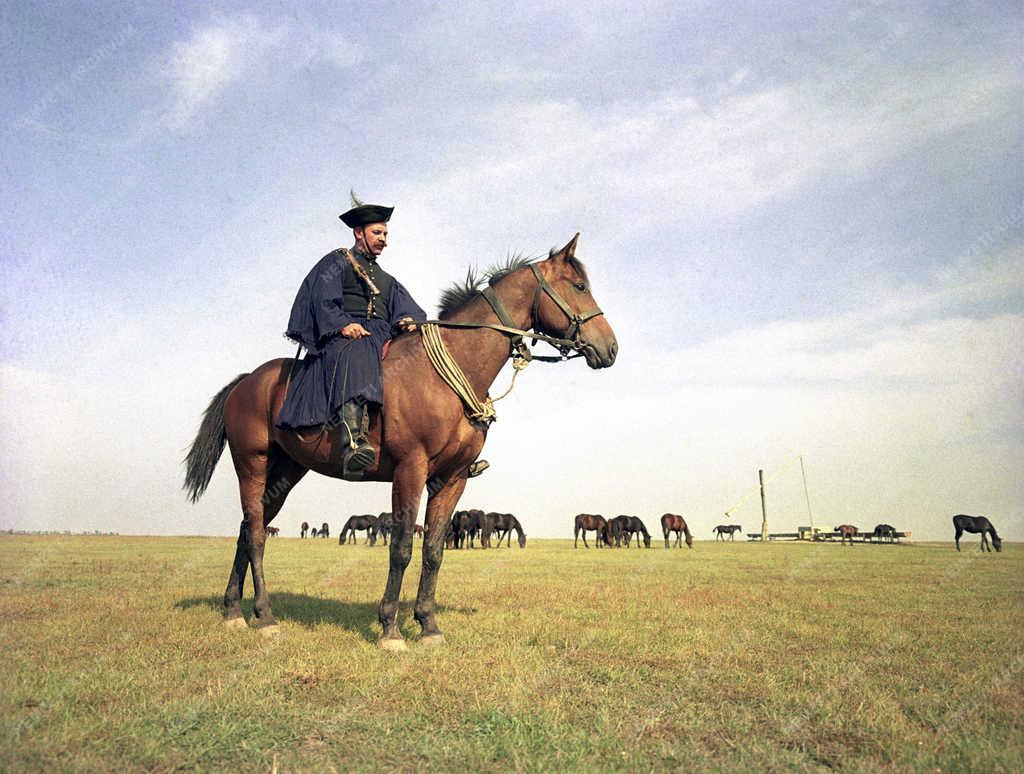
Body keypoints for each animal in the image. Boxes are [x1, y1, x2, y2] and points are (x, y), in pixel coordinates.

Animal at [182, 235, 614, 647]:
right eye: (579, 286)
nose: (610, 347)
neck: (447, 376)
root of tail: (248, 381)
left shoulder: (452, 478)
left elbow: (434, 551)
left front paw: (428, 625)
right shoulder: (411, 469)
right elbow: (402, 547)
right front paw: (390, 628)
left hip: (286, 472)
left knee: (245, 530)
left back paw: (232, 610)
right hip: (252, 463)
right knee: (255, 534)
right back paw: (266, 616)